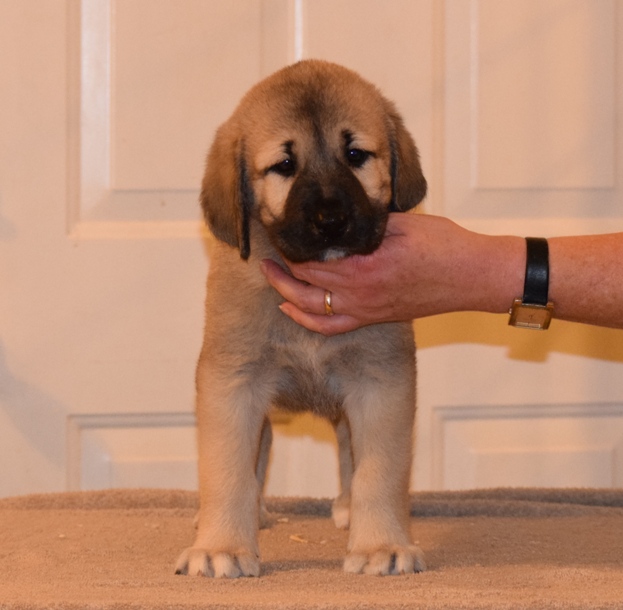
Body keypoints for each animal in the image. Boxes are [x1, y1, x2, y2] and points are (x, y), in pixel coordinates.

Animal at [175, 60, 427, 578]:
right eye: (284, 166)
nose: (330, 221)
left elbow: (379, 470)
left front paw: (380, 544)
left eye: (355, 154)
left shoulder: (382, 380)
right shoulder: (232, 381)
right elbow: (228, 470)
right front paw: (222, 545)